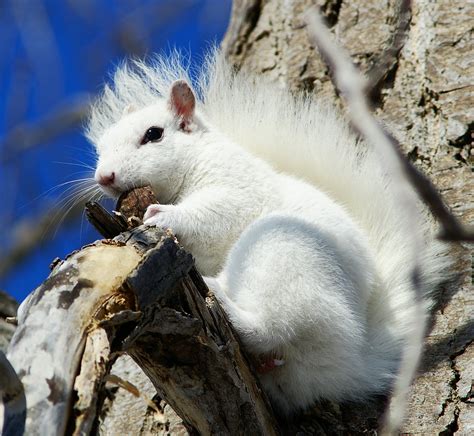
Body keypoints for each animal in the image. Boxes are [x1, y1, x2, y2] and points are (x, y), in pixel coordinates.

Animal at [88, 50, 448, 412]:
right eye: (101, 147)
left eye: (153, 134)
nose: (105, 177)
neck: (194, 160)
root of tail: (351, 364)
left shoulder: (238, 191)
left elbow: (213, 216)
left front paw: (163, 216)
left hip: (283, 251)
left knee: (271, 327)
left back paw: (220, 296)